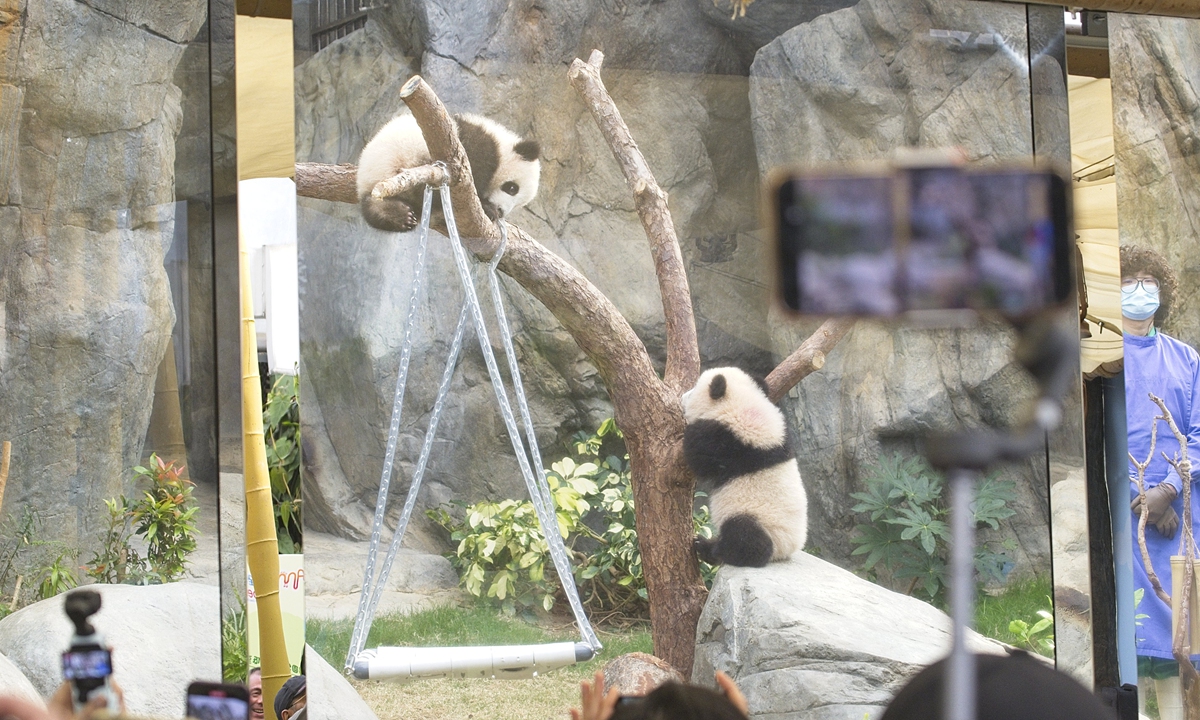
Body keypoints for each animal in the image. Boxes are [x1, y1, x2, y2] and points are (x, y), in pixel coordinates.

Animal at [356, 112, 541, 232]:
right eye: (512, 188)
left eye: (518, 204)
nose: (502, 210)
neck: (501, 147)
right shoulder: (478, 148)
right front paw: (488, 208)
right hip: (409, 157)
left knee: (372, 207)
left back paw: (397, 216)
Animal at [681, 366, 809, 567]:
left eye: (694, 390)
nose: (682, 397)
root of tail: (786, 550)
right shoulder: (783, 435)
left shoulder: (732, 443)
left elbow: (701, 456)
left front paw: (691, 431)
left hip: (761, 521)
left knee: (744, 537)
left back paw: (710, 549)